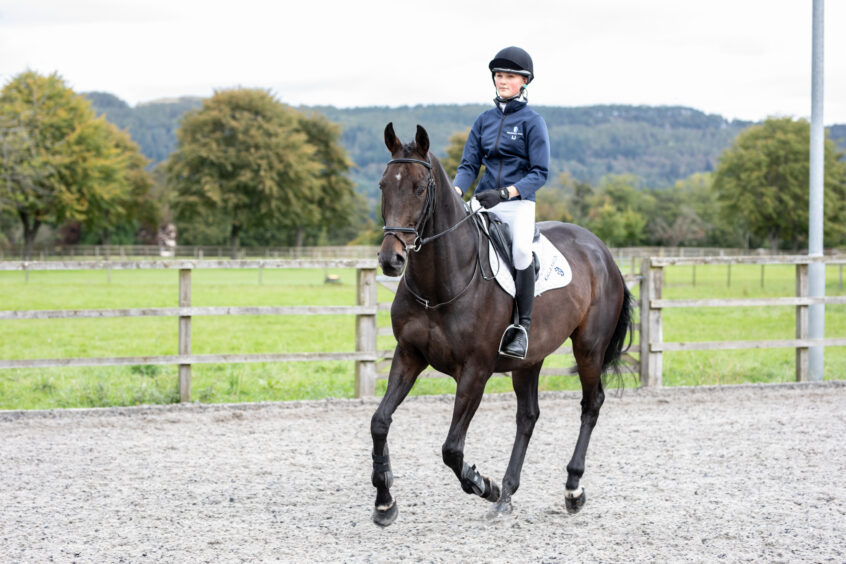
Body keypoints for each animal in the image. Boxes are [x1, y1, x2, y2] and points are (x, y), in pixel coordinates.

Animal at [368, 123, 632, 528]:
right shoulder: (409, 355)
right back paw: (507, 493)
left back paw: (570, 489)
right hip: (530, 359)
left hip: (588, 348)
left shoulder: (475, 371)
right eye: (384, 185)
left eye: (419, 187)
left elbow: (451, 448)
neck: (442, 280)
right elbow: (380, 422)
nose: (390, 259)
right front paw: (384, 501)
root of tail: (602, 252)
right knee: (528, 416)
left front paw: (483, 484)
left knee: (592, 403)